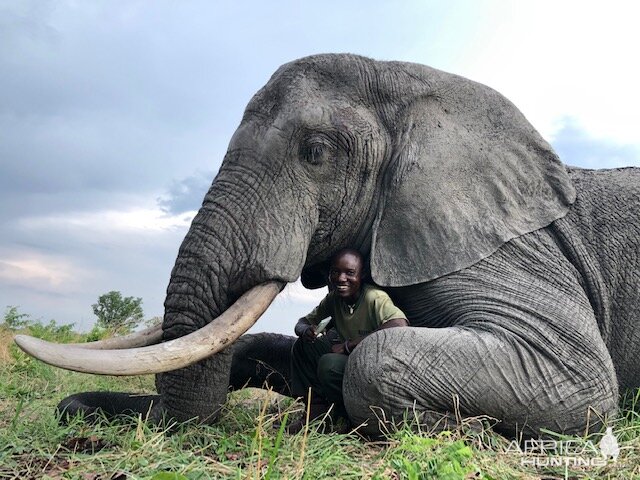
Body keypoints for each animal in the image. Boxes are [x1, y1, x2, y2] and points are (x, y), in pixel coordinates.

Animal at [15, 53, 640, 438]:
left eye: (315, 152)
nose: (70, 409)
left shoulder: (508, 252)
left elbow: (576, 379)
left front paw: (466, 428)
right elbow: (270, 348)